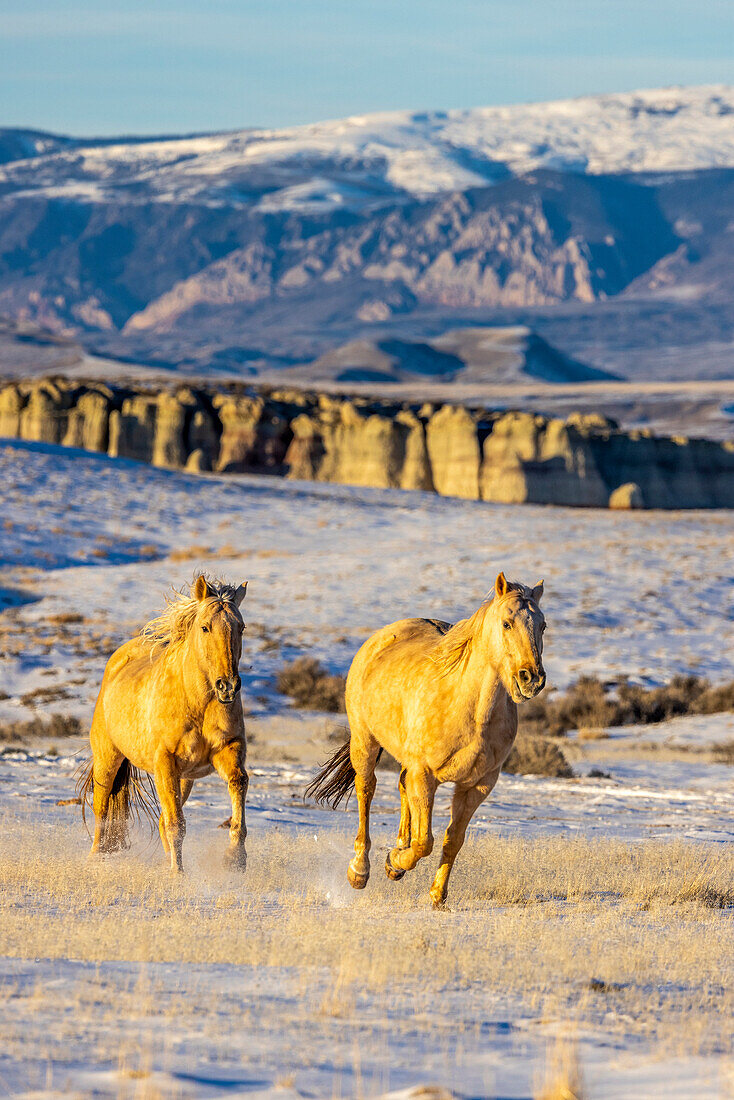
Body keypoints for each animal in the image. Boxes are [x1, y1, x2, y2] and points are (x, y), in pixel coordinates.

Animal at [77, 576, 248, 875]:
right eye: (205, 627)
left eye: (241, 627)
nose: (227, 687)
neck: (196, 702)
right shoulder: (165, 763)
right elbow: (176, 824)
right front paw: (177, 874)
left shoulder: (229, 750)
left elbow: (238, 785)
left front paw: (235, 860)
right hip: (108, 759)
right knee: (102, 811)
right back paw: (96, 859)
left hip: (185, 778)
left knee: (159, 820)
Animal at [303, 572, 545, 906]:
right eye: (507, 623)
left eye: (543, 625)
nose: (531, 679)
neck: (471, 712)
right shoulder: (426, 775)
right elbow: (424, 842)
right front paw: (395, 861)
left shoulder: (478, 785)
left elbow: (452, 839)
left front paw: (436, 894)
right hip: (365, 742)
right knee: (366, 791)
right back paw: (360, 870)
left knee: (402, 785)